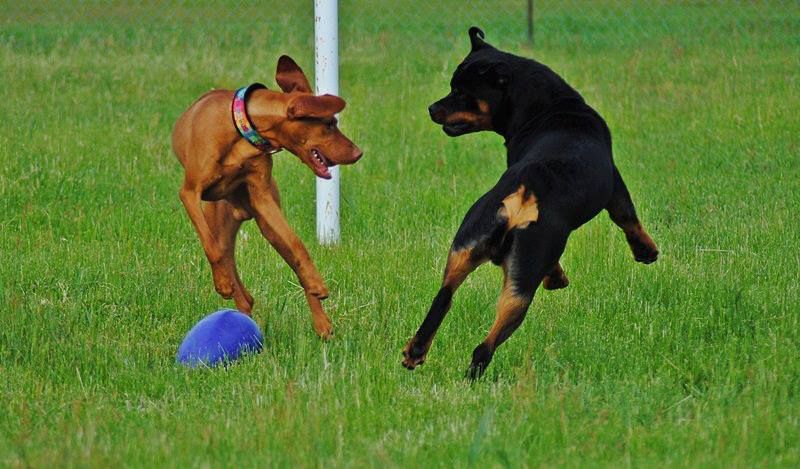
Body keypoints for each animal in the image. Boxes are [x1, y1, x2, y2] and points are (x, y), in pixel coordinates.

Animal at [172, 55, 362, 339]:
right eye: (329, 125)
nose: (359, 153)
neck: (242, 129)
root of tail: (240, 211)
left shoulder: (264, 200)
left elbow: (298, 245)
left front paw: (317, 283)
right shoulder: (190, 193)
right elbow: (210, 247)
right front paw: (222, 284)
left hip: (266, 225)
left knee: (267, 269)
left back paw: (321, 324)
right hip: (218, 220)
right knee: (225, 255)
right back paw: (230, 288)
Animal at [402, 28, 659, 378]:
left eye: (460, 91)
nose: (431, 108)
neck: (548, 107)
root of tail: (523, 192)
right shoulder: (615, 184)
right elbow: (628, 219)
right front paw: (647, 252)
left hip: (466, 246)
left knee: (443, 298)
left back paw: (415, 351)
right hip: (524, 279)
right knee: (484, 346)